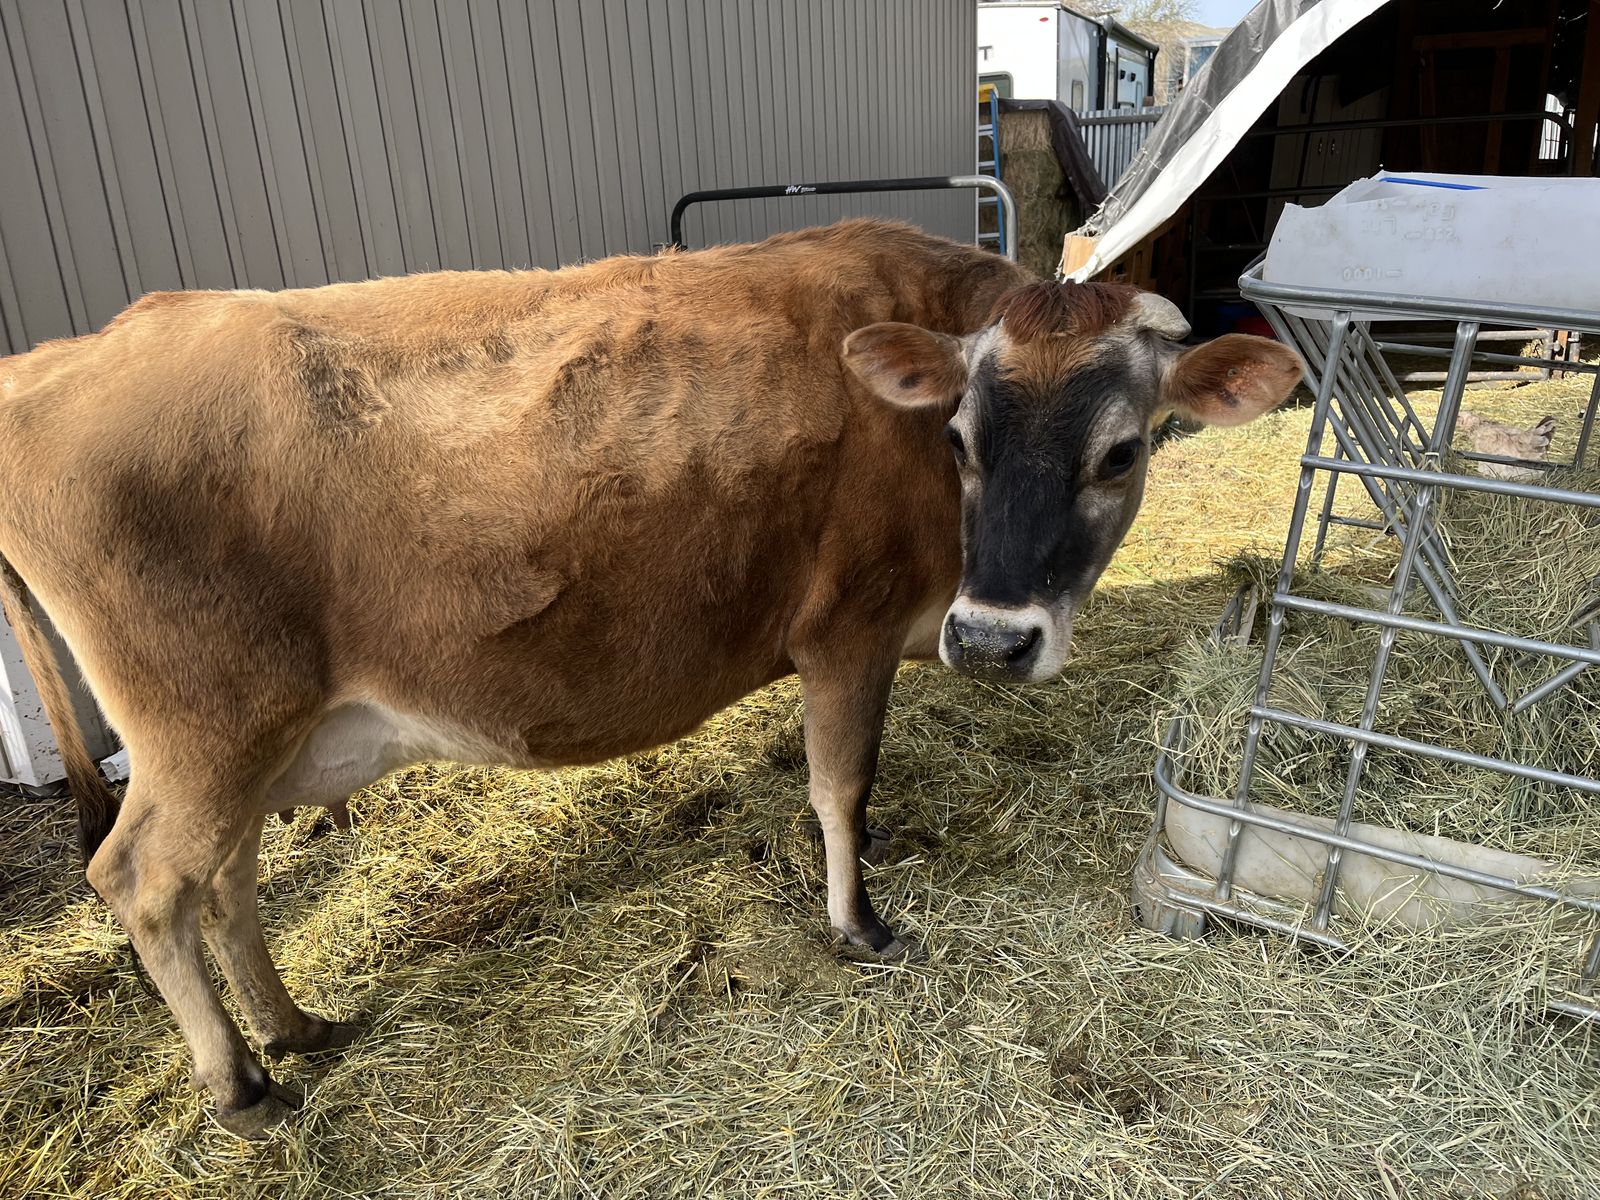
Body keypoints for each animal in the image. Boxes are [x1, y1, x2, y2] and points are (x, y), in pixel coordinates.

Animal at [0, 219, 1301, 1136]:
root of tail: (64, 359)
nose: (990, 640)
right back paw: (240, 1087)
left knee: (225, 880)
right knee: (146, 879)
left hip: (255, 732)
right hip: (206, 724)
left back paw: (291, 1025)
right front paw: (858, 923)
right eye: (959, 440)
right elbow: (840, 784)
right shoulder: (847, 629)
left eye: (1119, 452)